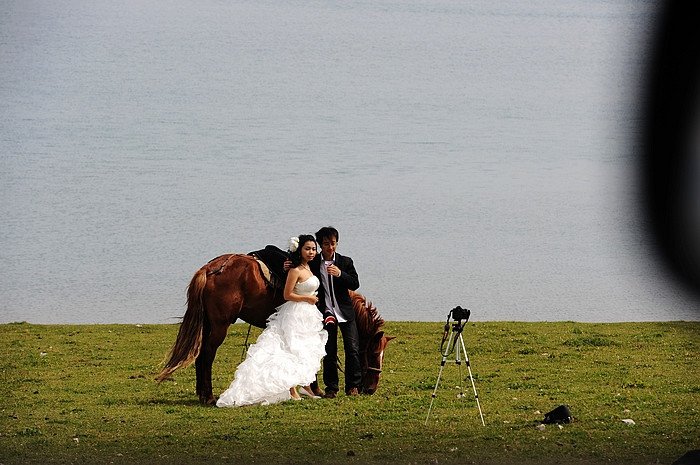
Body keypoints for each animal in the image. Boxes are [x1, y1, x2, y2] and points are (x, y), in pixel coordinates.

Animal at [154, 252, 394, 404]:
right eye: (374, 354)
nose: (371, 389)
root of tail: (210, 269)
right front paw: (314, 388)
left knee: (200, 355)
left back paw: (202, 394)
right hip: (220, 326)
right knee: (206, 354)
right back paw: (209, 396)